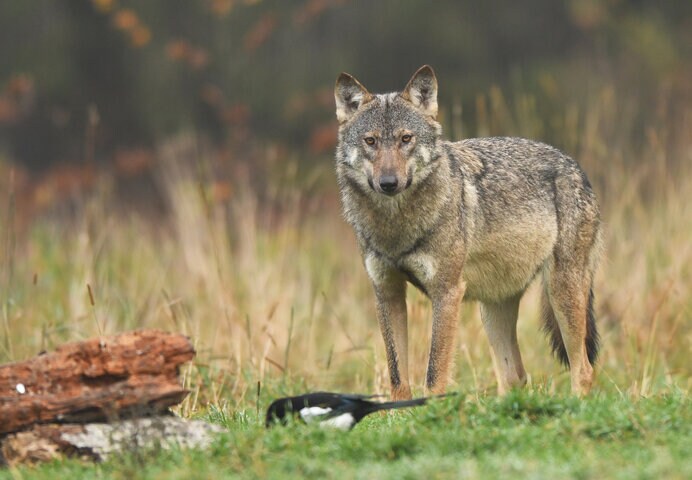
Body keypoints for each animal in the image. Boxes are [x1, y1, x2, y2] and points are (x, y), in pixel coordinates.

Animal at [334, 65, 600, 400]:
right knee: (515, 377)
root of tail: (576, 167)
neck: (395, 228)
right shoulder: (386, 292)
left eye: (406, 139)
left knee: (583, 369)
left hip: (561, 291)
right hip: (494, 310)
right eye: (370, 141)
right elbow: (397, 377)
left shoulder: (447, 292)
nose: (389, 183)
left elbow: (434, 373)